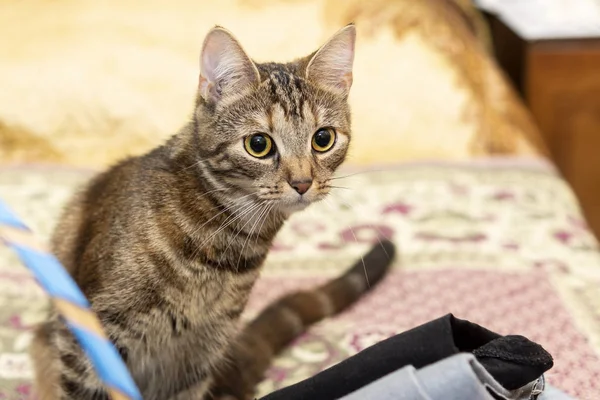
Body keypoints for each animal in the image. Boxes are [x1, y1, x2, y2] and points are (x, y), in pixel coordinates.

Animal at [29, 23, 394, 398]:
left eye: (323, 139)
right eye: (258, 144)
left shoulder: (195, 359)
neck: (224, 245)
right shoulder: (89, 339)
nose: (303, 182)